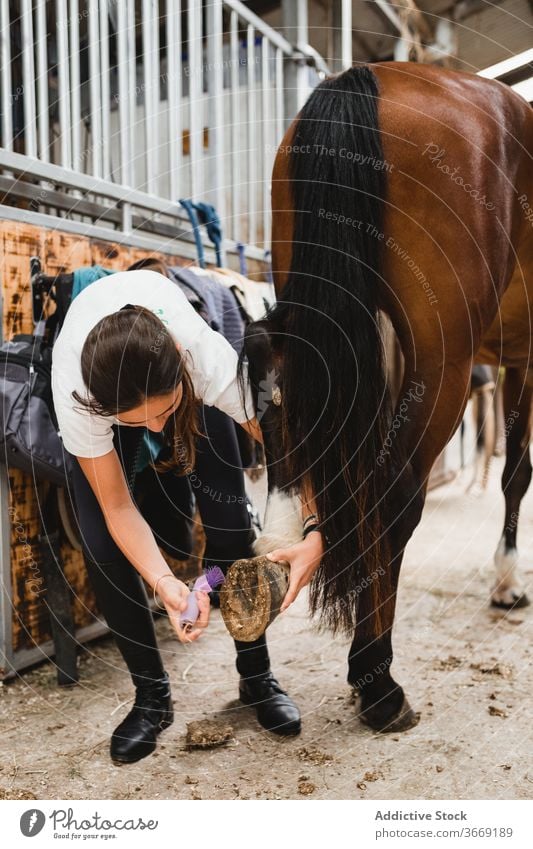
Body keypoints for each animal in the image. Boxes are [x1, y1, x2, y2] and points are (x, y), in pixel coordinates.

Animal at [242, 63, 532, 732]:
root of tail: (364, 75)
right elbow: (517, 472)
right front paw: (507, 582)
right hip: (444, 358)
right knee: (396, 491)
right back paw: (377, 681)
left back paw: (281, 538)